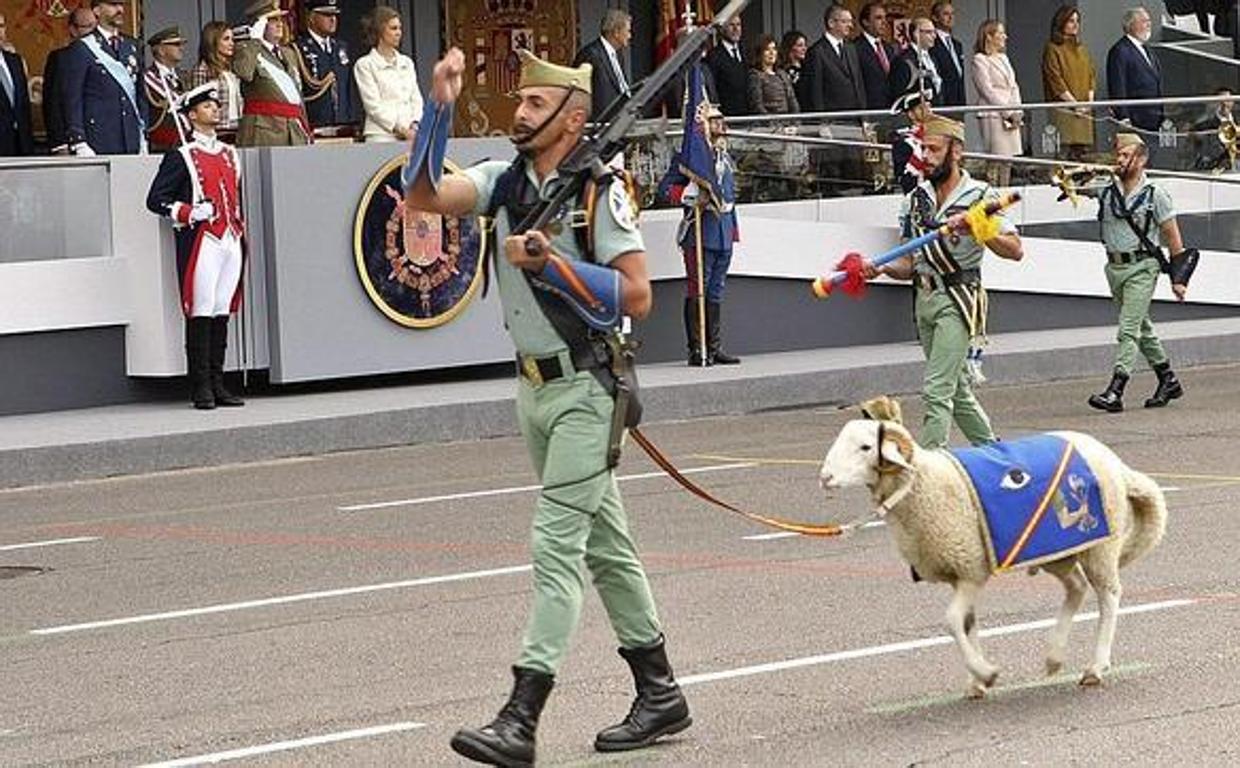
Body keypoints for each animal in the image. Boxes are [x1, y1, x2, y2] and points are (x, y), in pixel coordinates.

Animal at [818, 416, 1165, 699]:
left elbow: (952, 621)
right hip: (1056, 549)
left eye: (865, 447)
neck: (923, 485)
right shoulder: (959, 574)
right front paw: (977, 682)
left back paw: (1096, 667)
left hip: (1101, 547)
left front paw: (986, 673)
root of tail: (1116, 464)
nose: (824, 477)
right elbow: (967, 623)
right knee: (1076, 588)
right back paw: (1054, 658)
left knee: (1109, 596)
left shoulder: (971, 570)